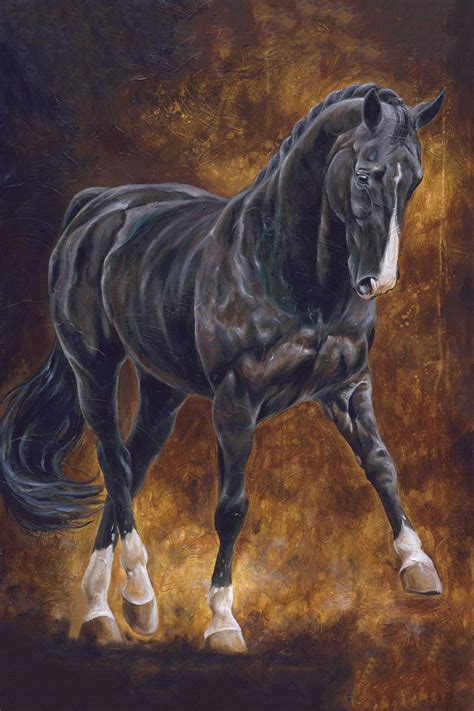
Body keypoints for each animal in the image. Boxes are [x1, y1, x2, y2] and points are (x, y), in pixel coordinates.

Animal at [0, 83, 445, 653]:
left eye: (414, 179)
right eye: (366, 173)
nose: (377, 282)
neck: (286, 272)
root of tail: (95, 206)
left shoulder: (347, 388)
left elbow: (382, 465)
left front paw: (418, 564)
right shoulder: (236, 403)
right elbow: (232, 507)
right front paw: (222, 621)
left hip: (162, 391)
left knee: (132, 470)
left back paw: (103, 608)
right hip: (93, 370)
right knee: (114, 464)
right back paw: (137, 599)